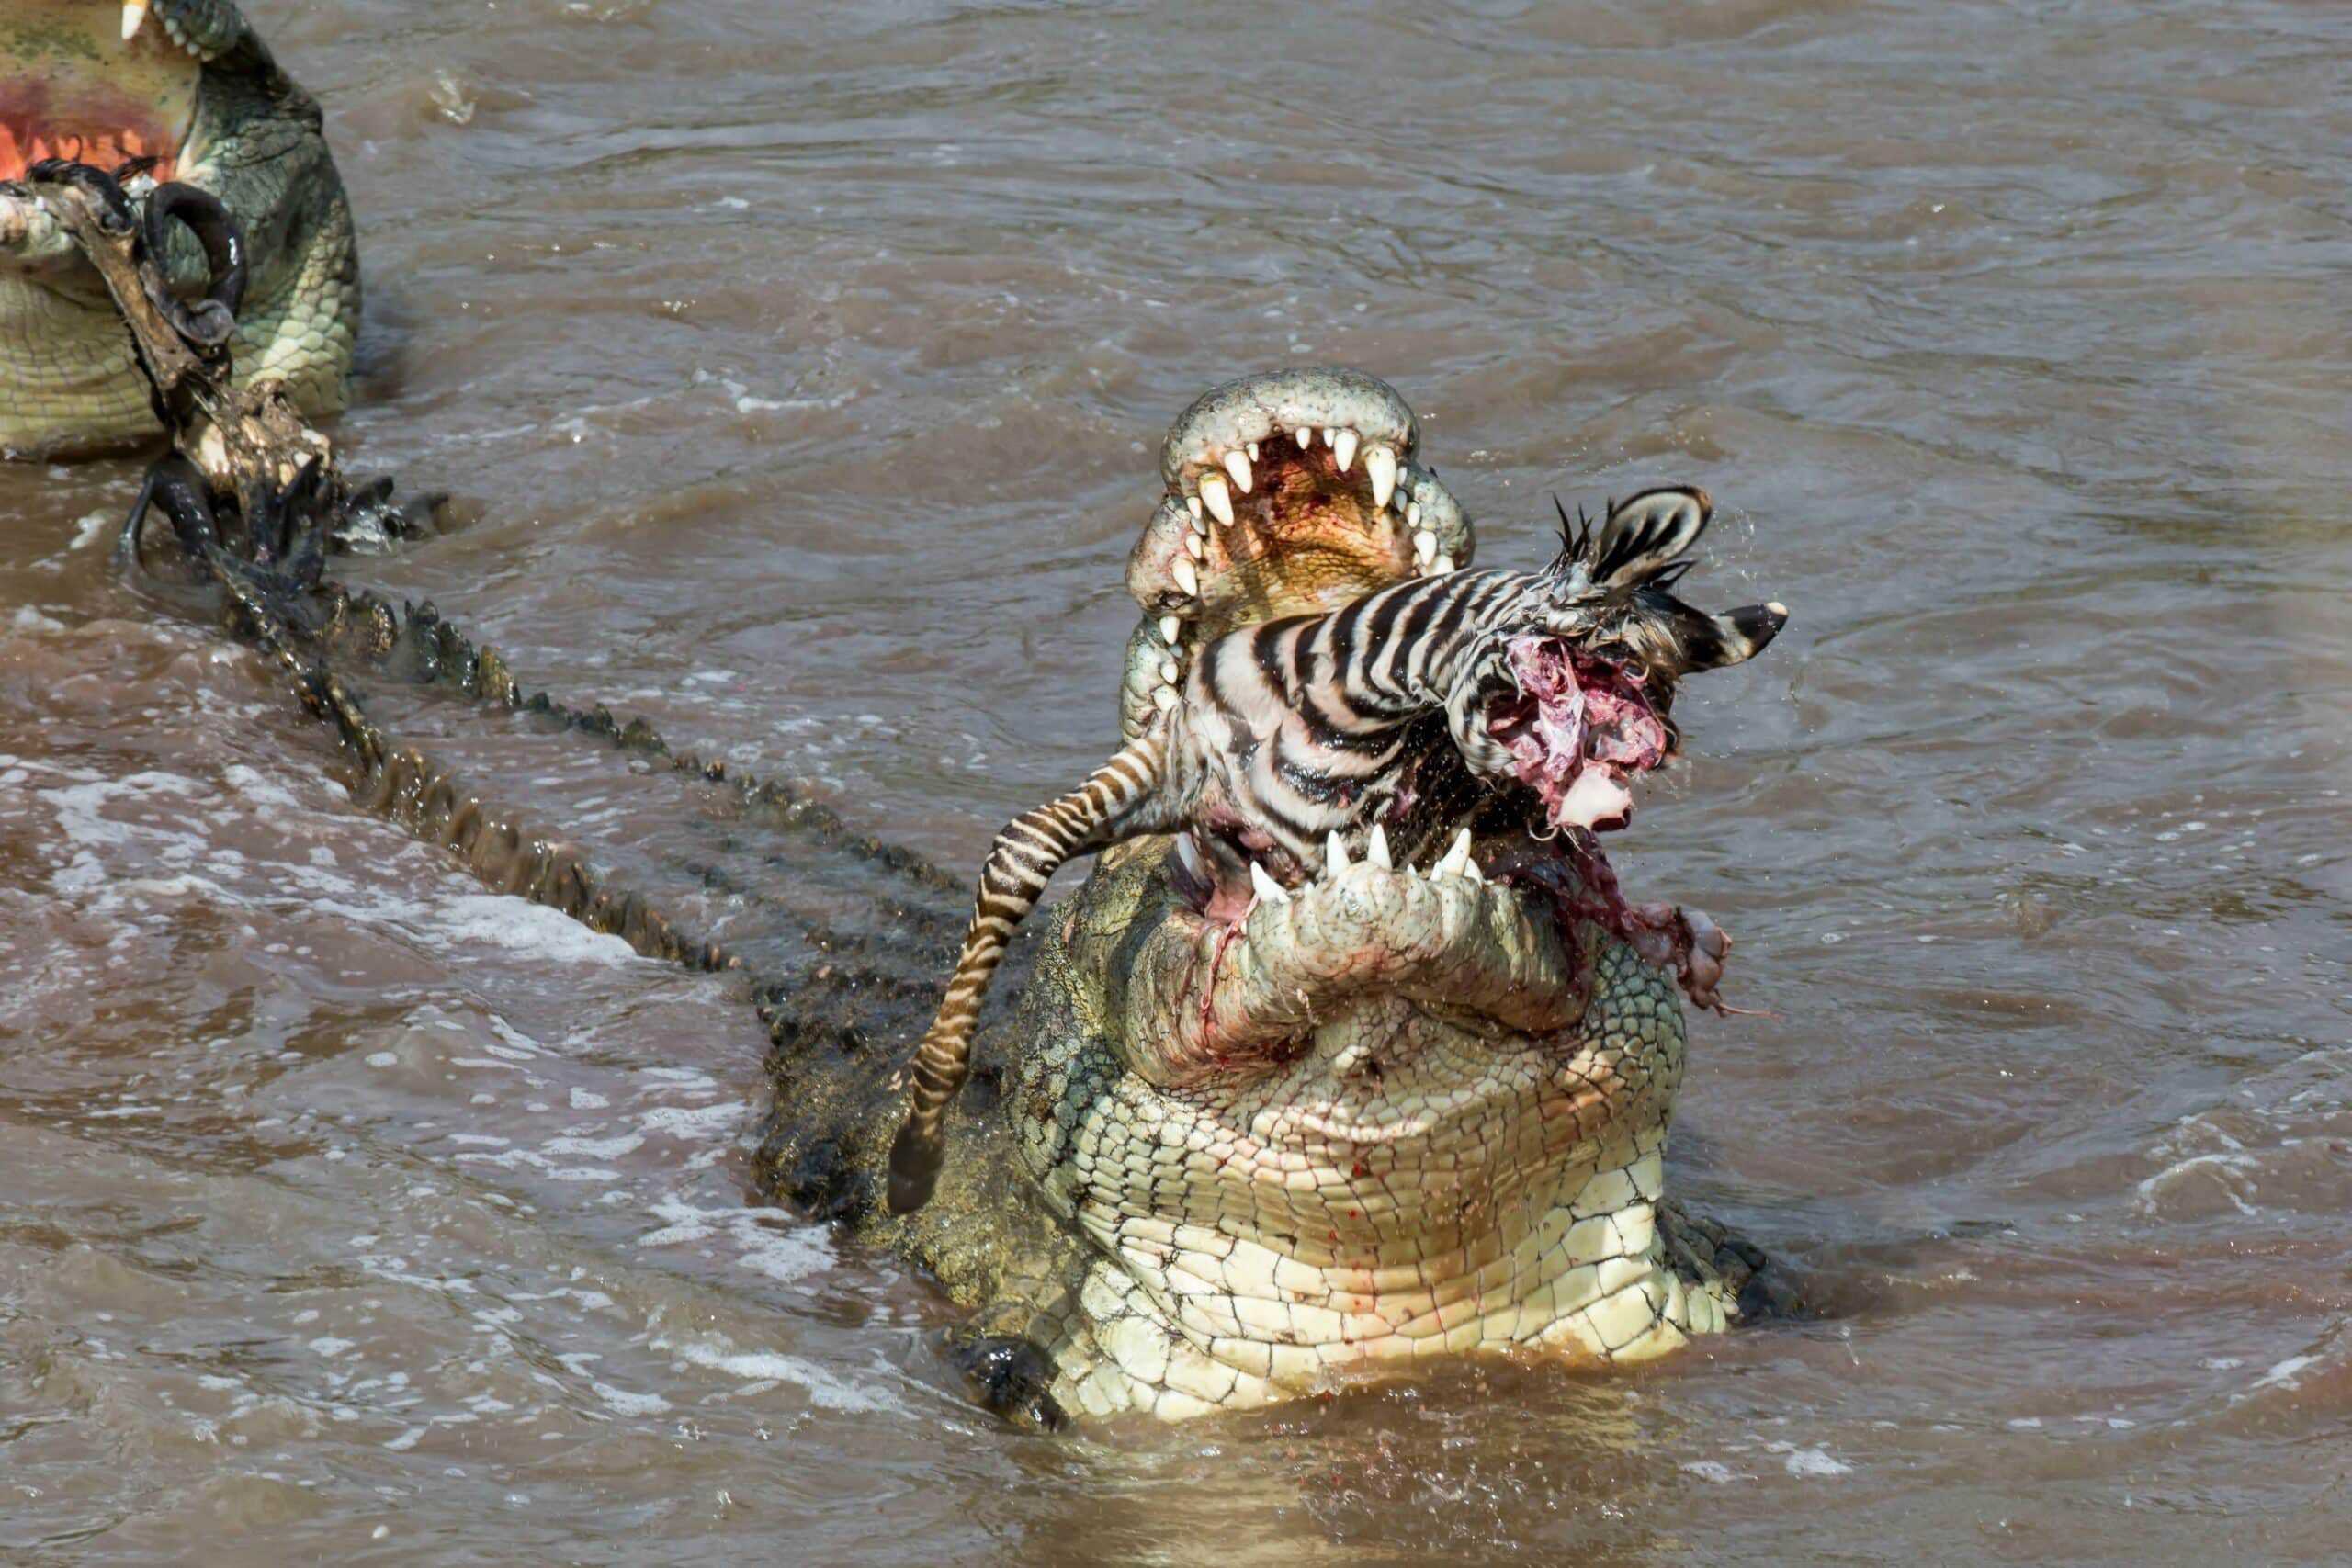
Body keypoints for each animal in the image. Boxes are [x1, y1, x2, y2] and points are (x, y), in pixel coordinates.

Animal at [887, 485, 1786, 1214]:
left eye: (1660, 697)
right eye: (1561, 670)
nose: (1609, 806)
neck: (1339, 716)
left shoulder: (1396, 841)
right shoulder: (1168, 765)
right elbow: (1019, 858)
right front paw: (912, 1161)